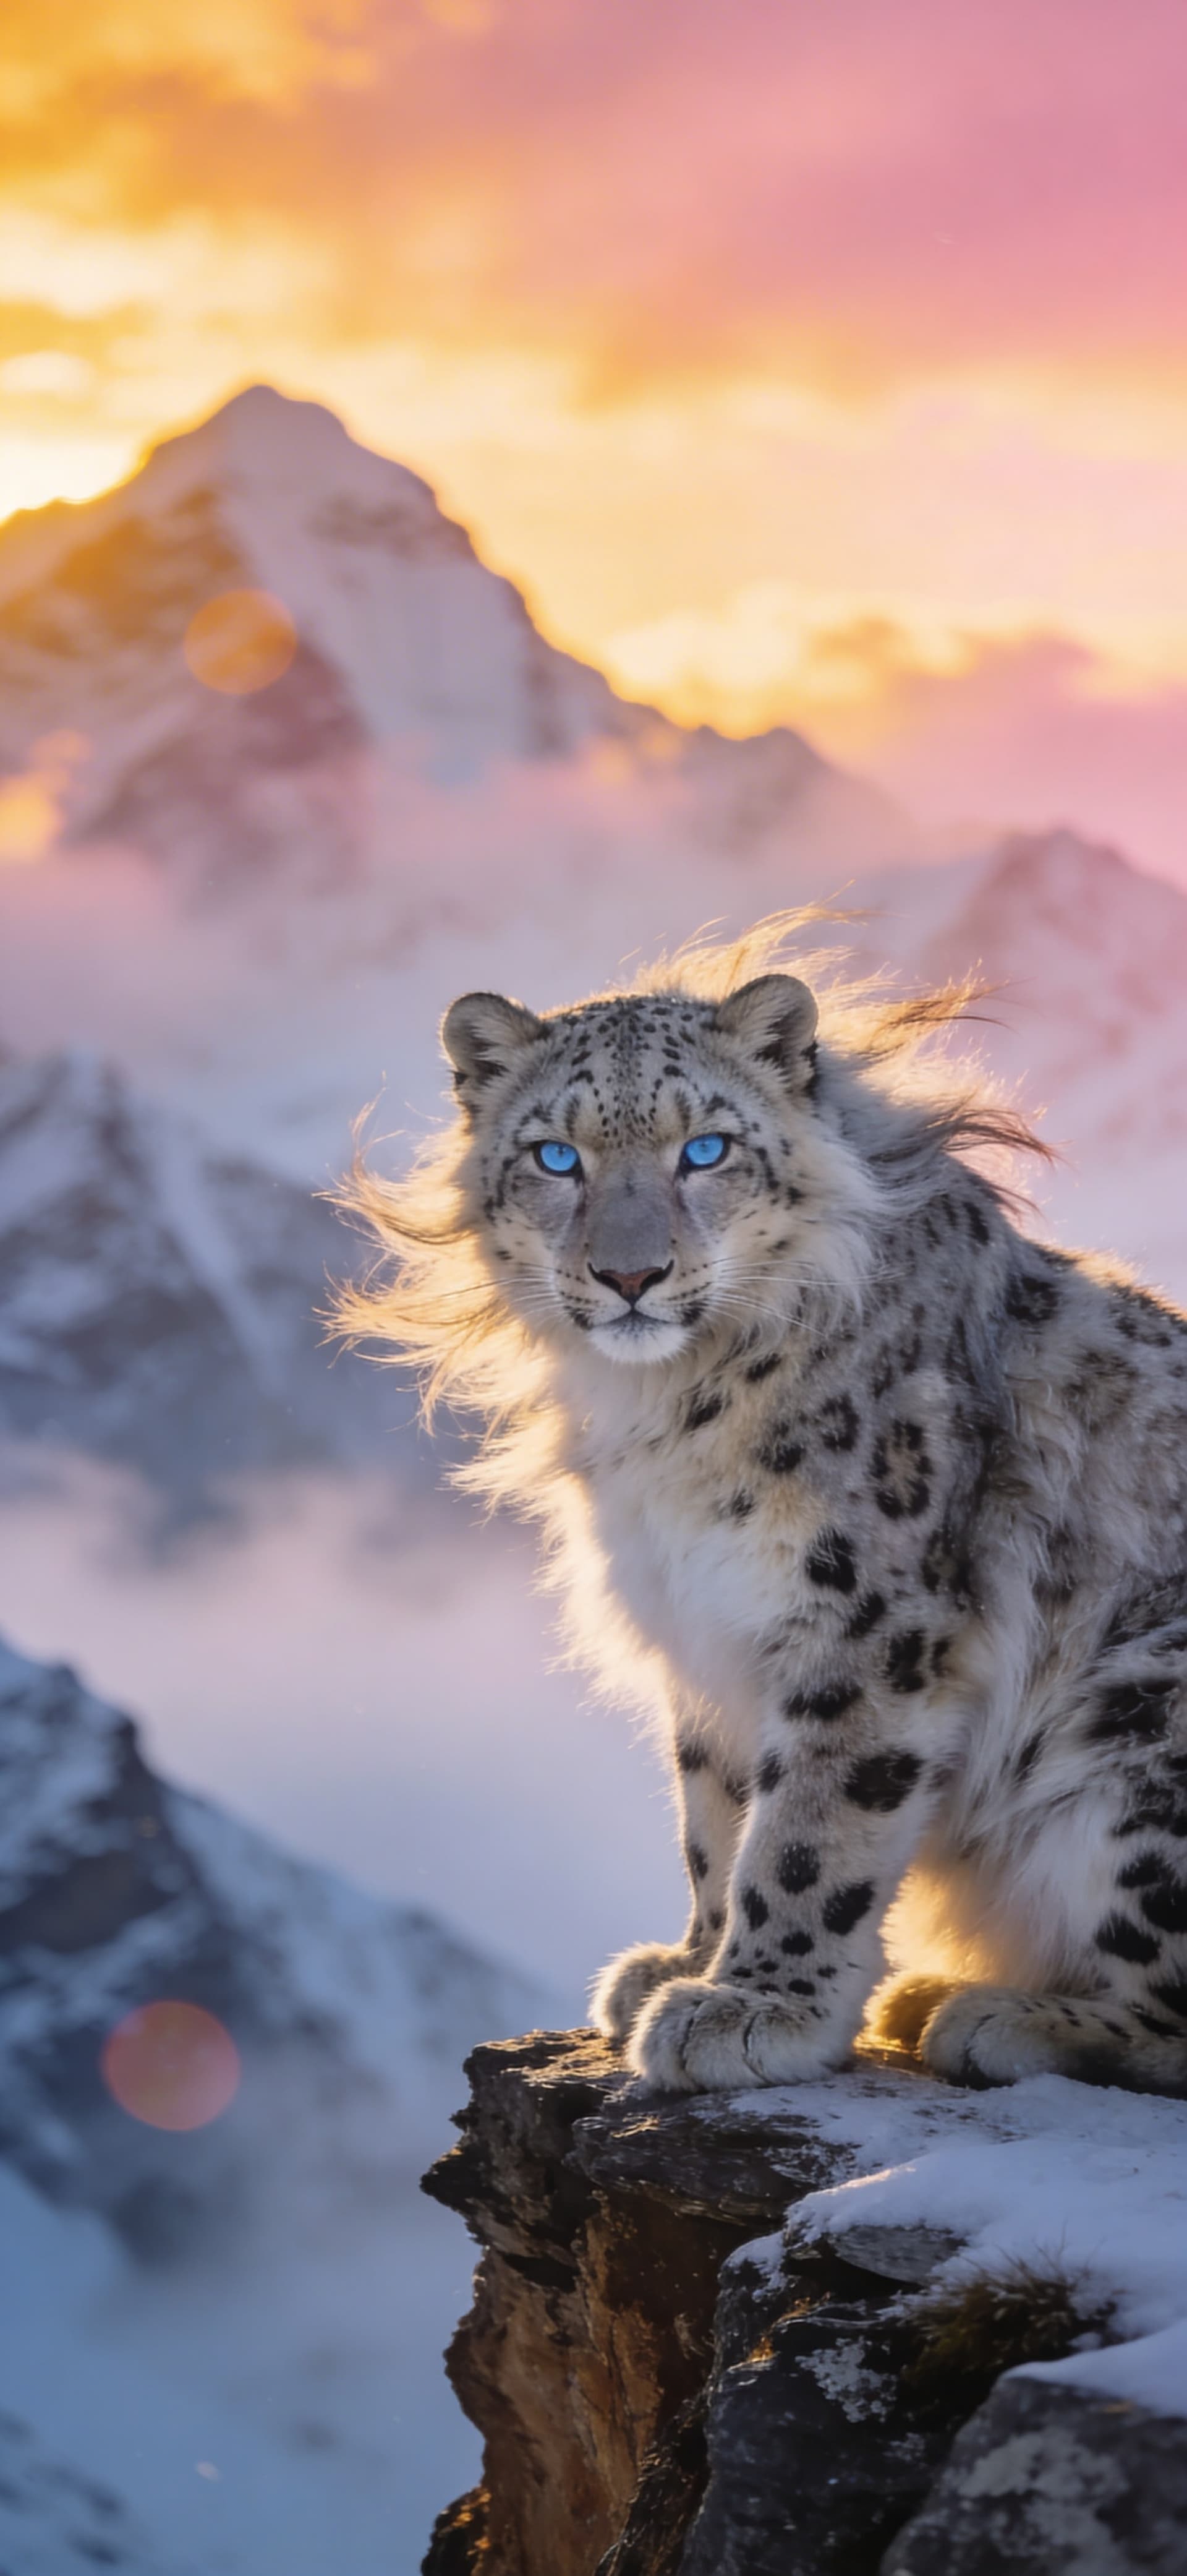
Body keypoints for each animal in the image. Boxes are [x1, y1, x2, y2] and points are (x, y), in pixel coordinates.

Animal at [337, 920, 1187, 2099]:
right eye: (557, 1157)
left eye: (706, 1150)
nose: (632, 1275)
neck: (674, 1418)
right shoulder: (707, 1624)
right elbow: (718, 1811)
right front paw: (688, 1963)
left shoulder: (861, 1615)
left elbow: (812, 1824)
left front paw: (757, 2007)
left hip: (1141, 1716)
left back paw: (995, 2015)